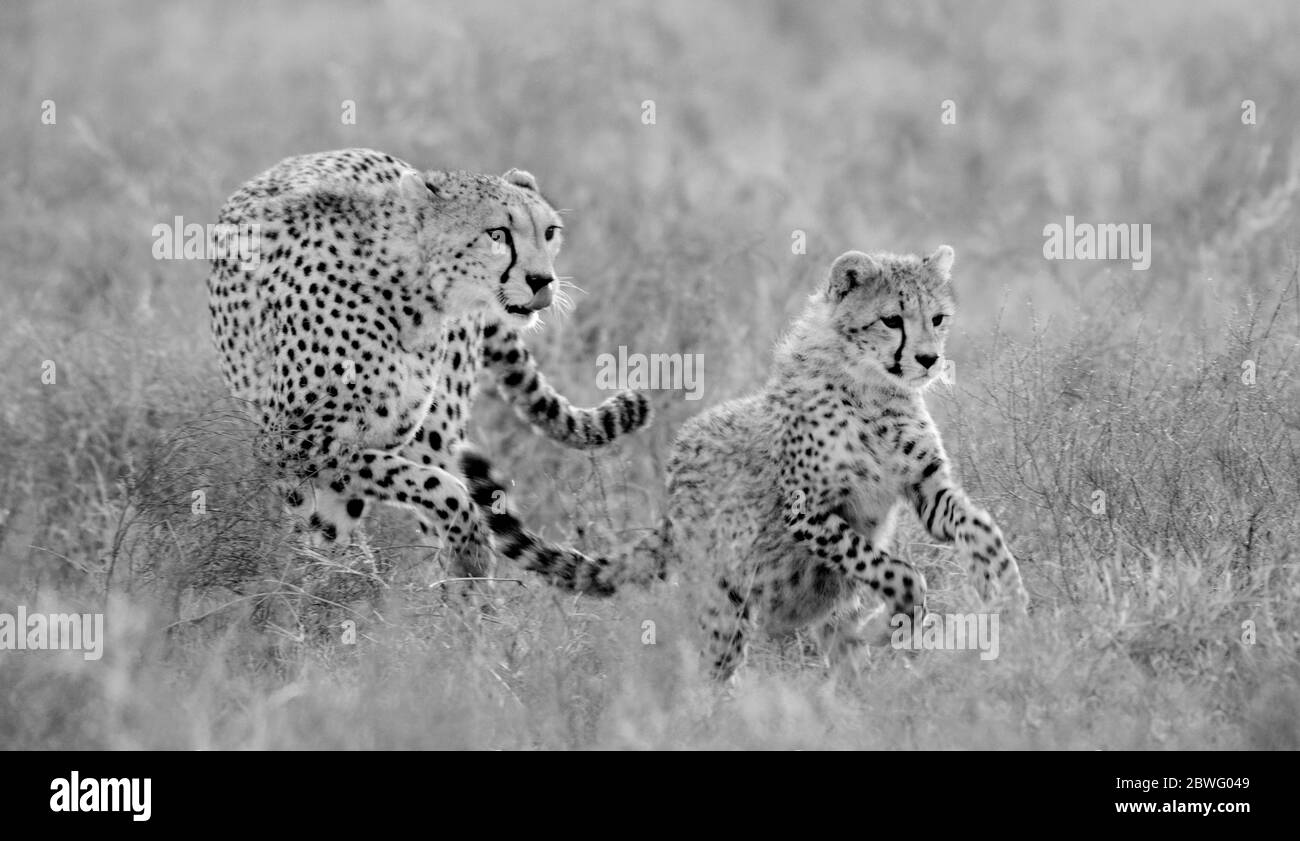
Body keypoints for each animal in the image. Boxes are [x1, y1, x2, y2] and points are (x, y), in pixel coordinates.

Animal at [207, 148, 650, 587]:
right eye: (498, 235)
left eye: (550, 232)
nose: (543, 280)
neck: (411, 293)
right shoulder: (288, 443)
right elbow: (437, 490)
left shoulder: (370, 443)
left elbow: (430, 491)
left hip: (434, 434)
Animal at [461, 246, 1028, 680]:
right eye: (892, 320)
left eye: (937, 319)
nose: (929, 359)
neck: (873, 389)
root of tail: (672, 492)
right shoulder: (807, 511)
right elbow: (896, 570)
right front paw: (900, 619)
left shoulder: (927, 489)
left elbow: (982, 530)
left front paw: (1008, 597)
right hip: (724, 603)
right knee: (714, 673)